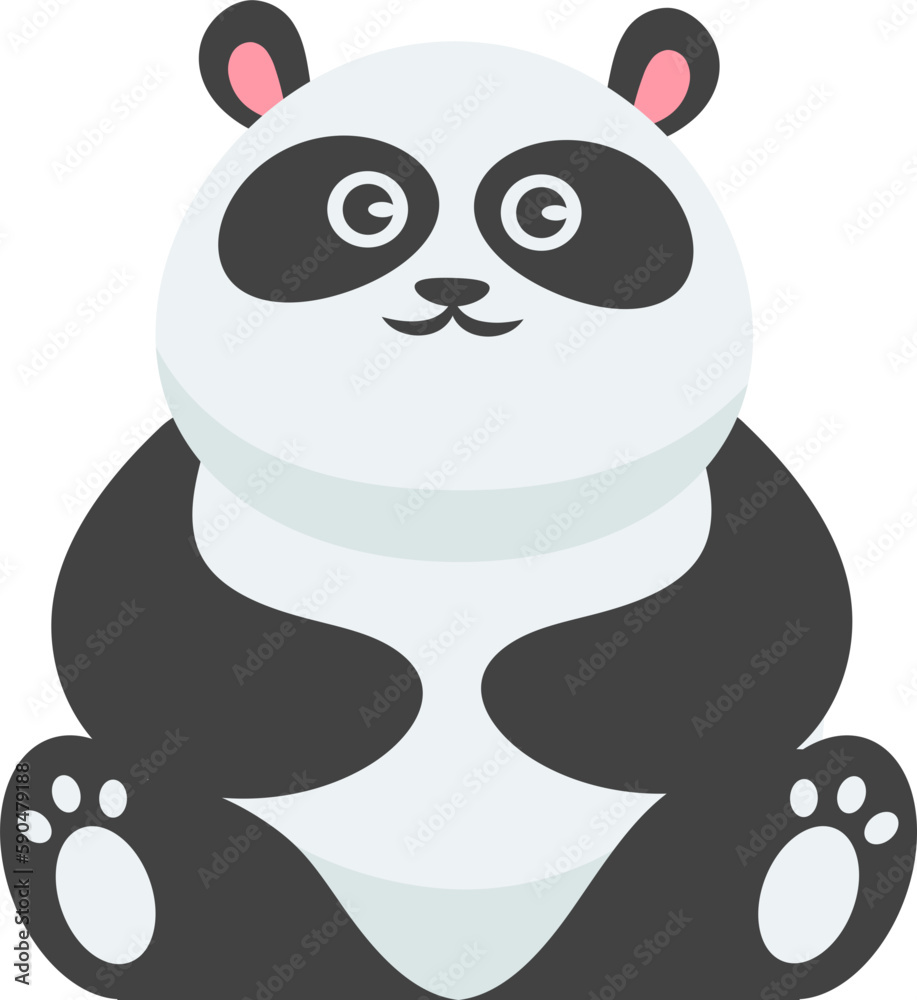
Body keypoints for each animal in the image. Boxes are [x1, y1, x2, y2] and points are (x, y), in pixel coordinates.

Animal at [3, 3, 914, 999]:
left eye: (546, 212)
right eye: (365, 209)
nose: (451, 290)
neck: (450, 508)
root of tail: (463, 979)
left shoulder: (727, 493)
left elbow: (775, 630)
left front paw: (523, 679)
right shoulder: (180, 494)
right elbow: (129, 636)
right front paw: (385, 684)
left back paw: (820, 838)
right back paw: (92, 842)